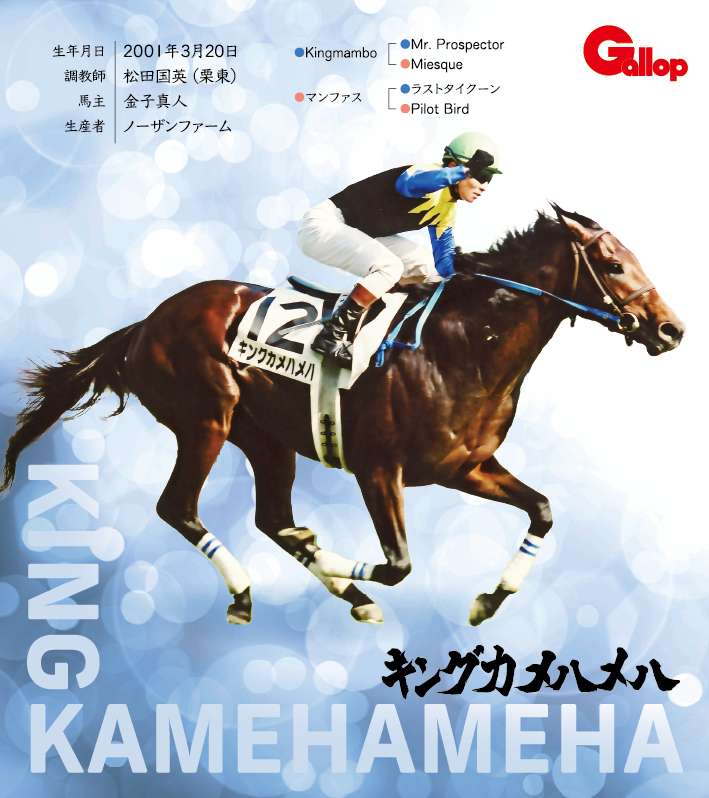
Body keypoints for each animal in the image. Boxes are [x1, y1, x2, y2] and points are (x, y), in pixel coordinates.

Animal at [0, 205, 684, 628]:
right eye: (615, 264)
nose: (671, 329)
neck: (465, 345)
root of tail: (145, 323)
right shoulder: (378, 468)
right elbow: (399, 565)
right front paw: (335, 560)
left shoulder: (466, 466)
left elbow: (541, 508)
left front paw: (490, 600)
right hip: (206, 419)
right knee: (181, 508)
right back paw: (258, 589)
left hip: (265, 437)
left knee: (271, 518)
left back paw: (336, 590)